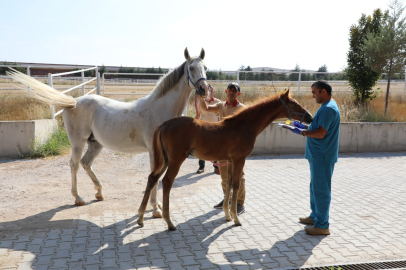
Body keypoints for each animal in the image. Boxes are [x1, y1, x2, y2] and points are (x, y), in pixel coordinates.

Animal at [7, 48, 209, 217]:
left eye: (206, 68)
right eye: (191, 68)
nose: (204, 90)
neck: (159, 109)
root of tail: (73, 102)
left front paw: (156, 206)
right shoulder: (154, 152)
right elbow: (155, 177)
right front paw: (156, 210)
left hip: (95, 144)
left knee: (85, 163)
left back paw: (99, 193)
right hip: (78, 143)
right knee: (74, 165)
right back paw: (78, 198)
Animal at [138, 89, 312, 230]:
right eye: (295, 104)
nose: (310, 117)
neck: (243, 126)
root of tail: (164, 124)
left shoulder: (229, 161)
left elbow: (228, 184)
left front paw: (227, 215)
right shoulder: (239, 159)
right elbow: (236, 184)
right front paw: (236, 219)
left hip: (165, 159)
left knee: (152, 178)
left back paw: (140, 218)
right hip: (176, 159)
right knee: (167, 182)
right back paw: (169, 222)